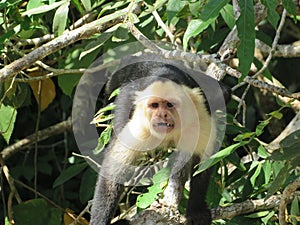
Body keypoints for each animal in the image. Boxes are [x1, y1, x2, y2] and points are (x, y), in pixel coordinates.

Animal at [89, 59, 230, 225]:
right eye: (154, 105)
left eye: (170, 104)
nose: (162, 115)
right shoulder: (139, 127)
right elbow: (112, 171)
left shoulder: (197, 115)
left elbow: (204, 160)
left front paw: (196, 210)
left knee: (222, 93)